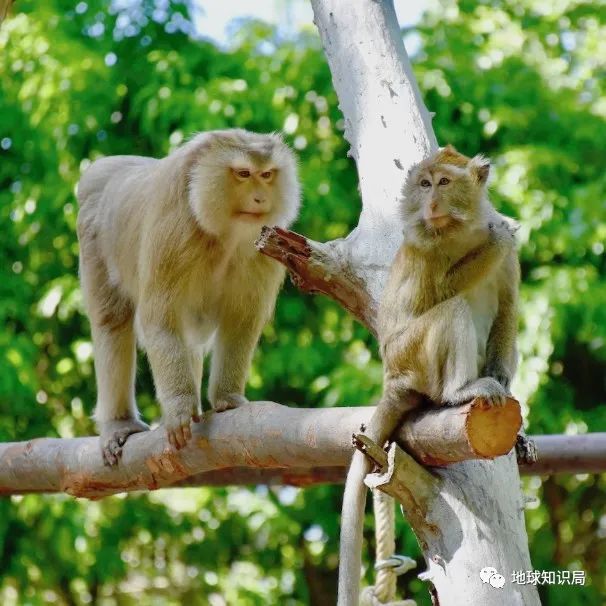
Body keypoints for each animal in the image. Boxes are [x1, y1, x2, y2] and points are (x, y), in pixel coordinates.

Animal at [78, 131, 302, 468]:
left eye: (267, 175)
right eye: (243, 173)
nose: (261, 199)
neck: (225, 236)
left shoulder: (264, 246)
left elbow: (241, 325)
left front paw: (227, 397)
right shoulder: (173, 232)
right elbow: (159, 322)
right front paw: (180, 406)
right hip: (92, 239)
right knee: (112, 321)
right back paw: (119, 423)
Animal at [340, 147, 524, 606]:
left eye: (443, 182)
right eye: (424, 184)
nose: (431, 204)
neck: (461, 231)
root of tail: (393, 379)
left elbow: (508, 308)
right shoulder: (424, 248)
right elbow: (440, 292)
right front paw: (498, 235)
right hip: (413, 359)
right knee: (451, 309)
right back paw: (459, 391)